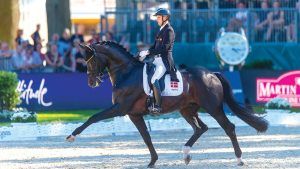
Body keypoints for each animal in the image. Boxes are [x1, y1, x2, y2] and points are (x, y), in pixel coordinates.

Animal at [67, 41, 268, 168]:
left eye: (91, 60)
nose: (91, 82)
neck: (127, 73)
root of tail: (211, 74)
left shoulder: (120, 109)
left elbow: (94, 117)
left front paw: (72, 136)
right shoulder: (134, 114)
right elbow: (146, 137)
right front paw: (152, 161)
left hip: (213, 108)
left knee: (229, 127)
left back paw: (239, 159)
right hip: (187, 109)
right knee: (200, 128)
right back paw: (186, 154)